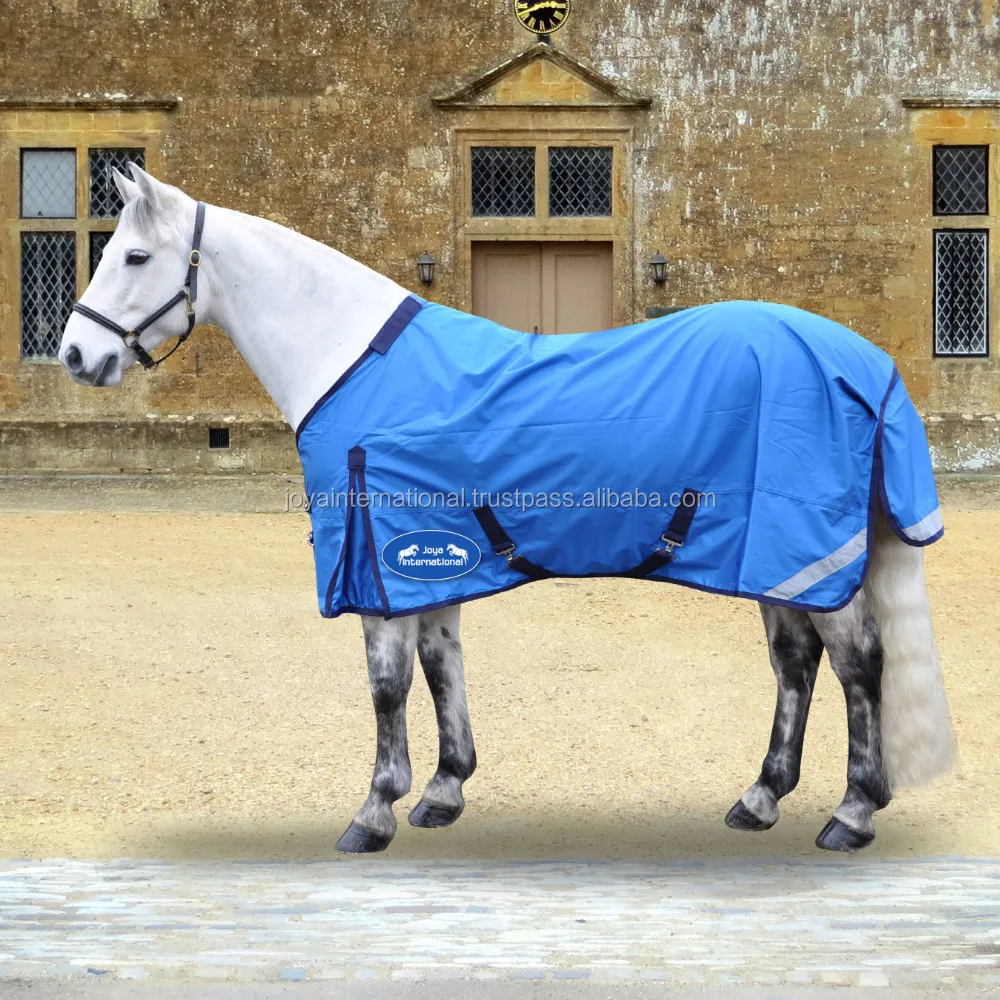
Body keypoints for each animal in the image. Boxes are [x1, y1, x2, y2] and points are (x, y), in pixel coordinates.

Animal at [59, 166, 955, 854]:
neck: (356, 363)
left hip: (807, 554)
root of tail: (862, 360)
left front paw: (374, 812)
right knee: (796, 666)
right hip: (779, 560)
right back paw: (761, 798)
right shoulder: (429, 562)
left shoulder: (380, 562)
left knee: (857, 666)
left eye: (134, 254)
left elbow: (386, 688)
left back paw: (852, 812)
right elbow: (440, 668)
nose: (76, 354)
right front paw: (443, 791)